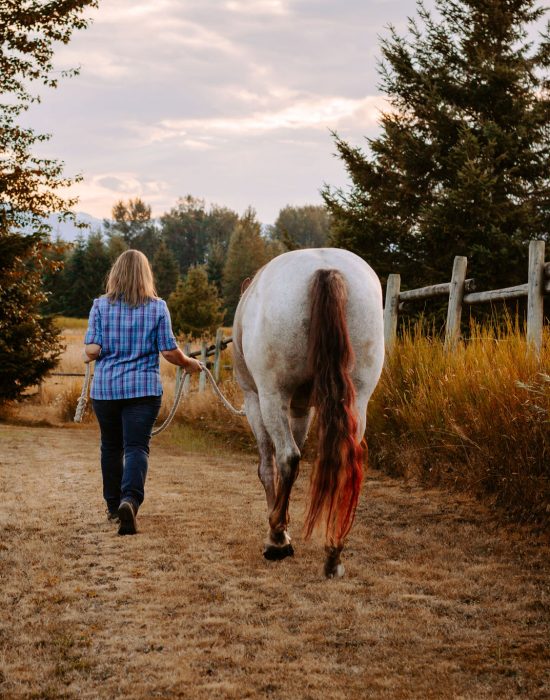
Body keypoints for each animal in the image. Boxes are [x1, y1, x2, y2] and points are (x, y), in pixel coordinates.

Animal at [232, 249, 384, 576]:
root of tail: (325, 270)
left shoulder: (254, 400)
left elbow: (268, 466)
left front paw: (279, 533)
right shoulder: (302, 408)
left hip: (272, 396)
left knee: (287, 457)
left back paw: (276, 538)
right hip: (358, 400)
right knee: (343, 464)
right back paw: (333, 552)